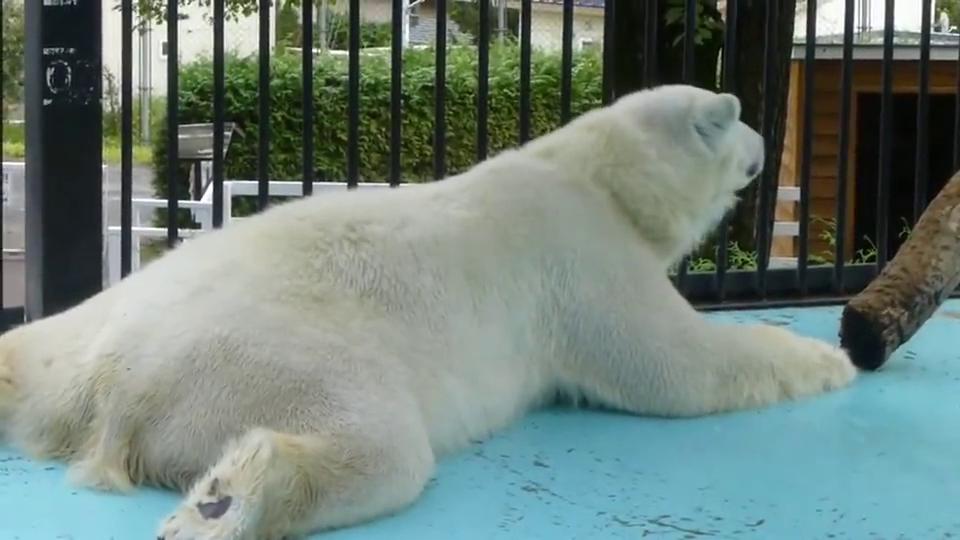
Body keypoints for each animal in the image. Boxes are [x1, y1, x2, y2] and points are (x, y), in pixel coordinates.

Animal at [0, 84, 857, 540]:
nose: (763, 142)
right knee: (381, 448)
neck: (594, 174)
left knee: (28, 350)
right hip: (274, 359)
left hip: (73, 341)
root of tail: (120, 385)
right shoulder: (582, 257)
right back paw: (224, 504)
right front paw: (829, 357)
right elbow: (672, 363)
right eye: (737, 118)